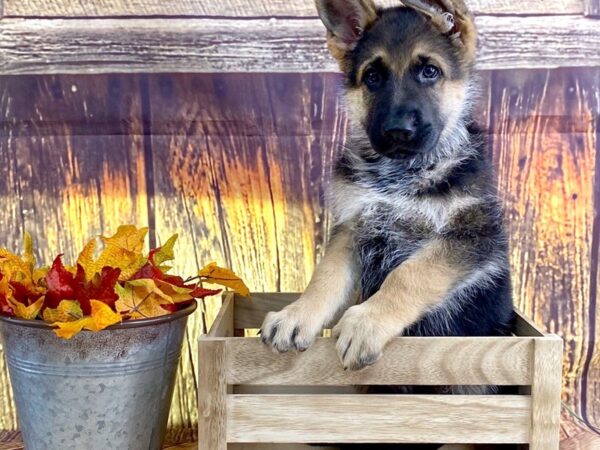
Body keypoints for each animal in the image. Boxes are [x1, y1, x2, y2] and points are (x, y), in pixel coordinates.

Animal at [260, 0, 512, 380]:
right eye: (372, 77)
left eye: (430, 72)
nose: (397, 131)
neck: (401, 176)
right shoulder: (353, 227)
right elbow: (326, 276)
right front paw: (297, 314)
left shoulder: (469, 236)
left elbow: (409, 274)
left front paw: (366, 322)